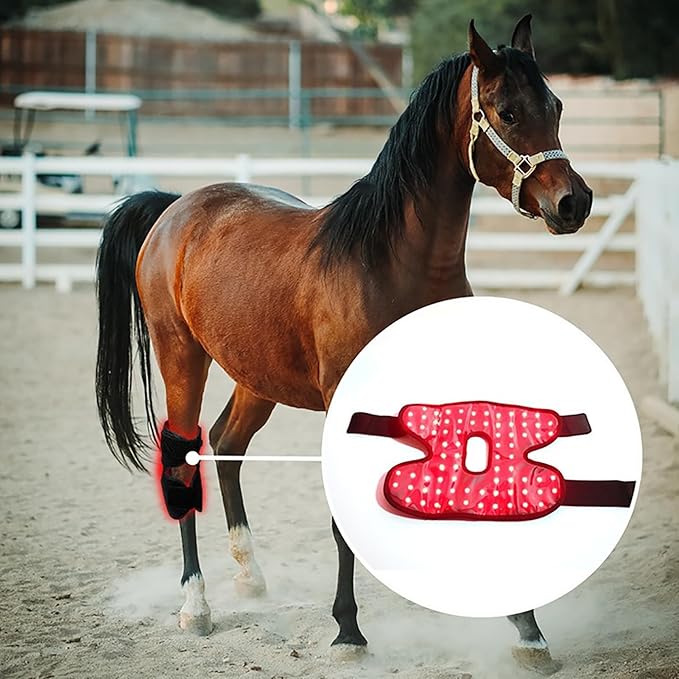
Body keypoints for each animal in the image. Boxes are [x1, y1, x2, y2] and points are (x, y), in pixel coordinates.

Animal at [95, 16, 592, 675]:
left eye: (555, 105)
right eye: (507, 112)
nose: (574, 202)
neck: (391, 263)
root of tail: (175, 207)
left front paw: (526, 631)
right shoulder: (343, 402)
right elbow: (343, 520)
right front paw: (348, 632)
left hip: (256, 377)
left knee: (227, 447)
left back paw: (250, 578)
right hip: (182, 359)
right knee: (182, 458)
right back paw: (195, 607)